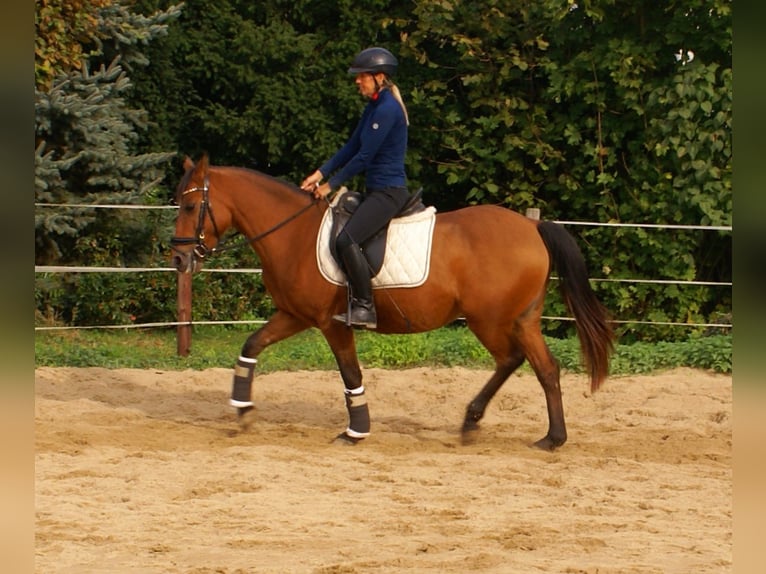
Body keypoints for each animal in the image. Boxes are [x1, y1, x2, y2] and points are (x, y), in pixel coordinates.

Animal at [171, 155, 616, 452]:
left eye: (191, 206)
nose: (178, 258)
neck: (293, 233)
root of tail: (531, 227)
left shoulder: (332, 323)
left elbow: (350, 373)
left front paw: (356, 430)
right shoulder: (295, 315)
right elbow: (251, 345)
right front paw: (243, 408)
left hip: (489, 320)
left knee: (513, 360)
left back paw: (484, 423)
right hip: (521, 320)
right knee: (545, 368)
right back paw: (547, 437)